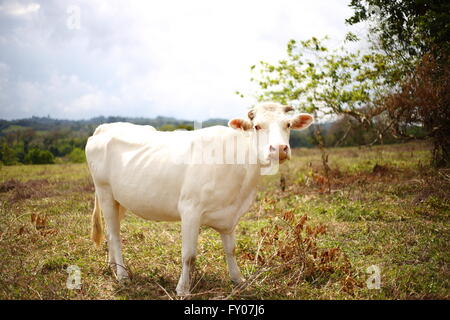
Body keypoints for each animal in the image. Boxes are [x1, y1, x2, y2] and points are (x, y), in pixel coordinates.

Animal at [85, 102, 312, 296]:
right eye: (257, 126)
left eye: (288, 124)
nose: (279, 149)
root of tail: (105, 127)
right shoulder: (190, 210)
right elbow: (189, 255)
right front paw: (183, 289)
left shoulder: (230, 215)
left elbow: (231, 250)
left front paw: (238, 280)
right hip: (104, 191)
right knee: (115, 235)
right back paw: (122, 275)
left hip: (120, 199)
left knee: (110, 231)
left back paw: (113, 266)